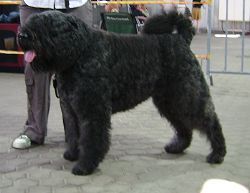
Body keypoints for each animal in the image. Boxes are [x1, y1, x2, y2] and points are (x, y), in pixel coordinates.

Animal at [18, 11, 227, 176]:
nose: (22, 35)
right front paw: (72, 154)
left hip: (187, 94)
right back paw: (177, 147)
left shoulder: (93, 110)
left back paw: (217, 154)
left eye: (46, 25)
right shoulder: (71, 109)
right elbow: (73, 133)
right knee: (183, 126)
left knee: (210, 120)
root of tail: (181, 39)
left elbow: (92, 138)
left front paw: (85, 166)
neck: (80, 51)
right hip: (169, 100)